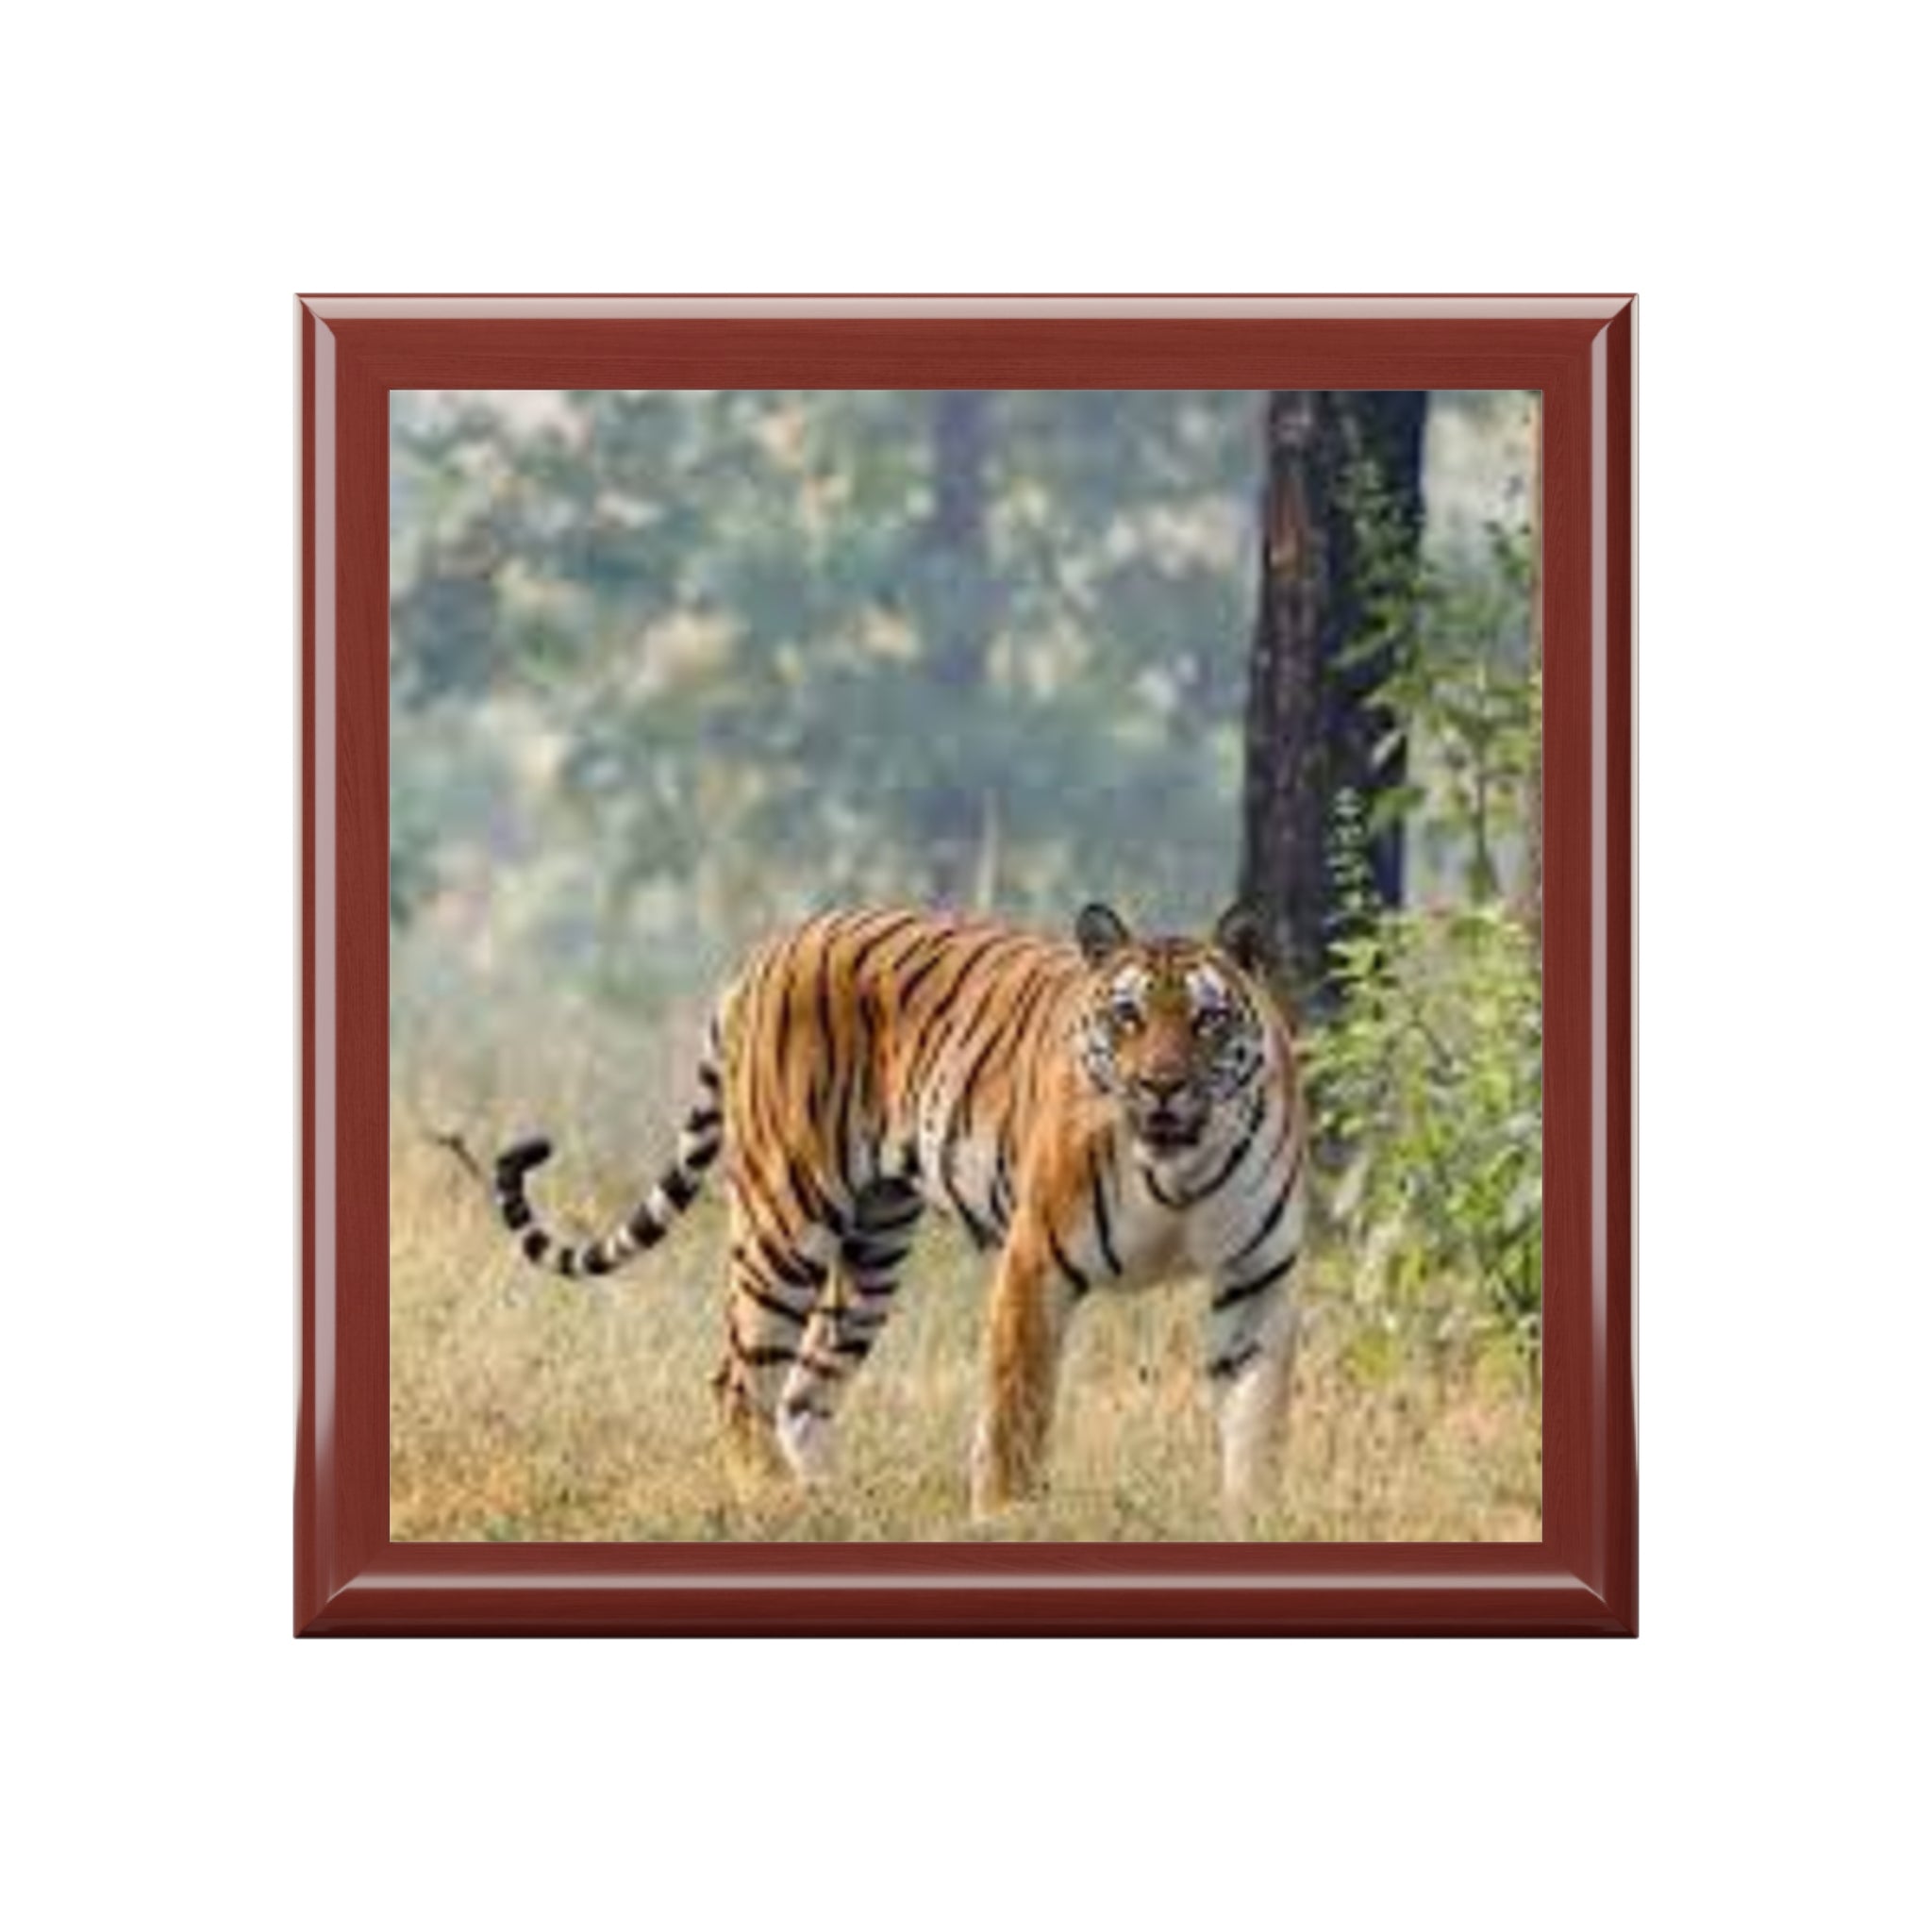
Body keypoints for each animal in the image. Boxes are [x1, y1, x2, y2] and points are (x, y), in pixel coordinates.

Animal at [489, 901, 1309, 1518]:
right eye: (1128, 1017)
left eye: (1206, 1021)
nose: (1161, 1086)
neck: (1179, 1170)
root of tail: (772, 946)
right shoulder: (1037, 1261)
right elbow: (1017, 1409)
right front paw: (1009, 1518)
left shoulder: (1257, 1277)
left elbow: (1256, 1418)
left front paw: (1252, 1518)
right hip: (786, 1215)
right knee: (739, 1377)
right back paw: (774, 1500)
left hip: (874, 1246)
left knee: (803, 1389)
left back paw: (829, 1502)